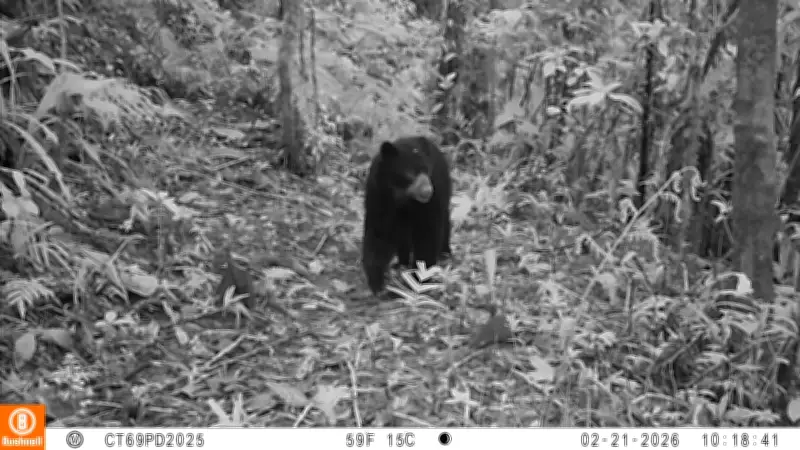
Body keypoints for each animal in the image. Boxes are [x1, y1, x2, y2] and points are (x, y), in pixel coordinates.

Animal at [362, 135, 452, 294]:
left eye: (427, 170)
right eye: (411, 173)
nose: (428, 190)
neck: (402, 196)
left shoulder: (431, 202)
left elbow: (427, 234)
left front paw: (419, 279)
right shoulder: (378, 194)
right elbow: (378, 233)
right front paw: (378, 282)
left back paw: (445, 254)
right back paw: (401, 263)